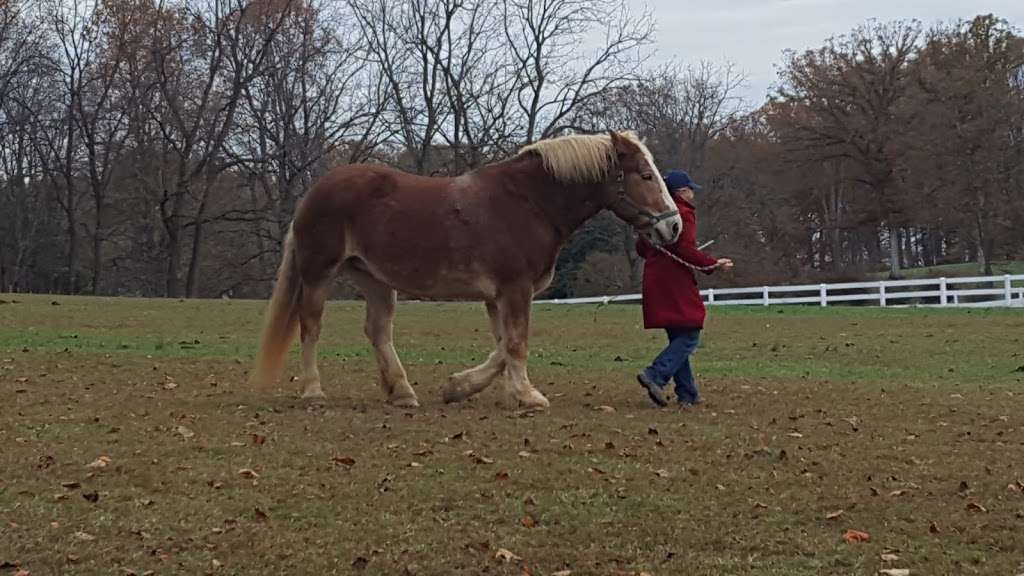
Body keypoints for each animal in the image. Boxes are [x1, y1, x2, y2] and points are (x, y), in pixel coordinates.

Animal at [246, 130, 679, 407]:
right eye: (645, 175)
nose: (673, 226)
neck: (529, 204)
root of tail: (315, 192)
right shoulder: (515, 288)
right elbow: (516, 343)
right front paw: (528, 396)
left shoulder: (498, 296)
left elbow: (503, 346)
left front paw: (462, 388)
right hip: (319, 272)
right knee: (310, 327)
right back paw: (314, 392)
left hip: (374, 280)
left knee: (378, 331)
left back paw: (402, 393)